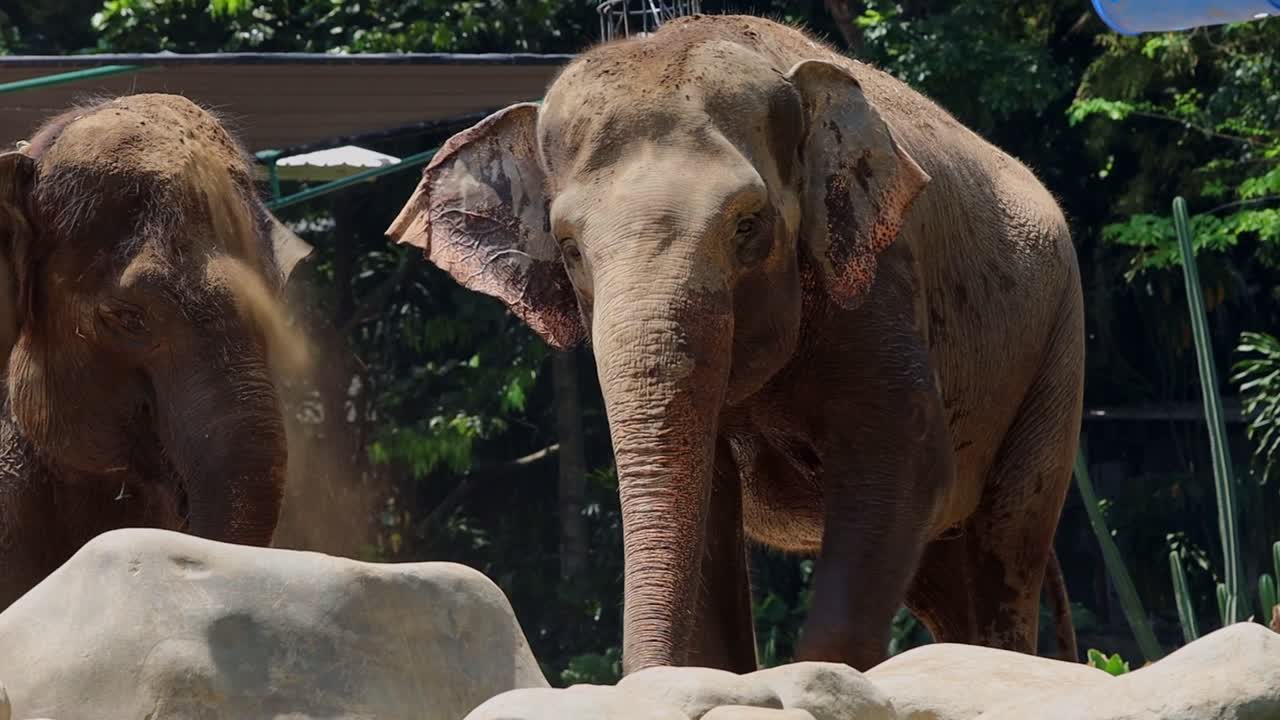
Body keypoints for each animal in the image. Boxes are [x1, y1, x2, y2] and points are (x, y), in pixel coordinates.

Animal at [387, 14, 1084, 674]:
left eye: (748, 225)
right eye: (569, 248)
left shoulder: (878, 279)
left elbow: (905, 463)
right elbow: (709, 510)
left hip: (1056, 352)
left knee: (1006, 543)